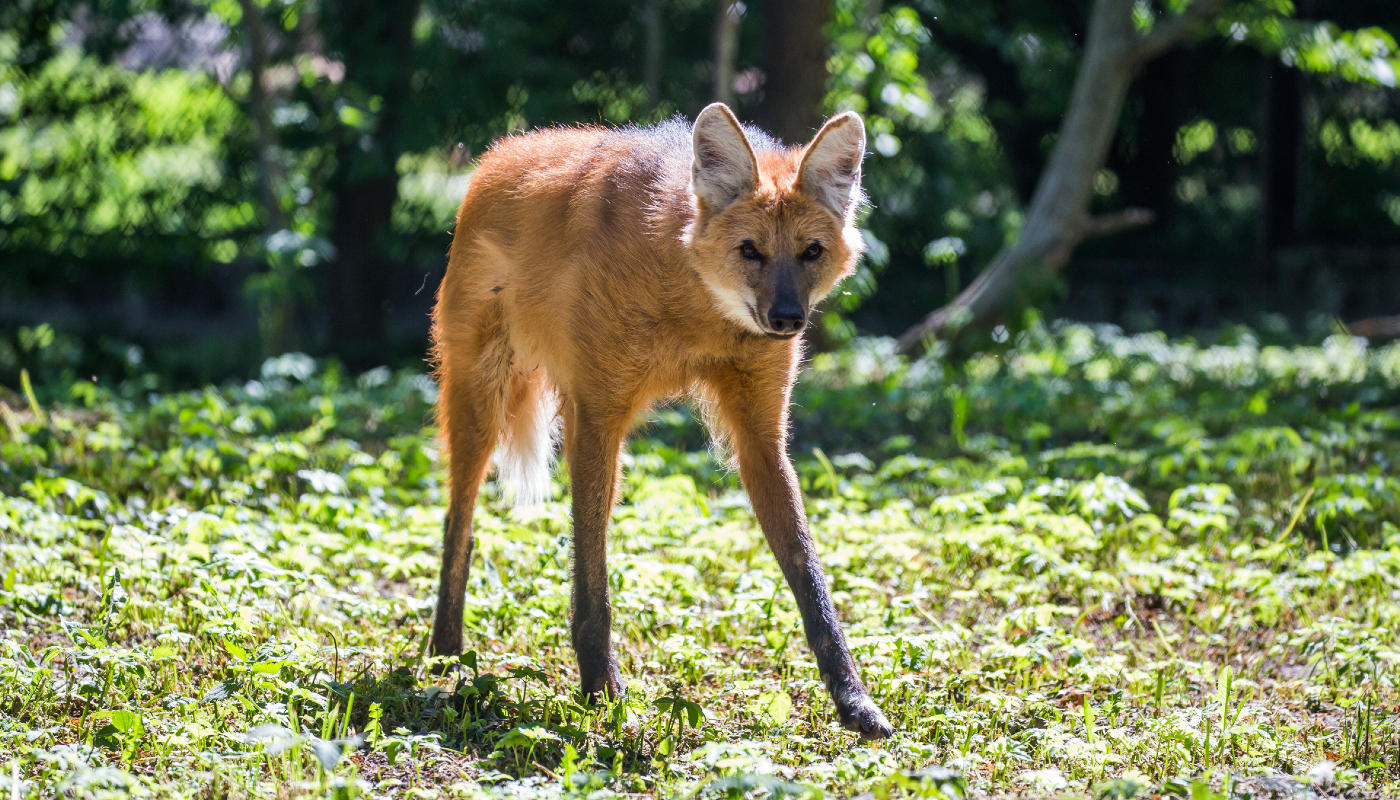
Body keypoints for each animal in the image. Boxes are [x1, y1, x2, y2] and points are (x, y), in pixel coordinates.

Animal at [429, 102, 892, 739]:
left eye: (811, 252)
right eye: (750, 250)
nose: (786, 318)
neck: (697, 308)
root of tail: (496, 157)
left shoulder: (759, 434)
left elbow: (808, 571)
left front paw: (853, 699)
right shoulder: (596, 413)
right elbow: (591, 576)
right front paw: (602, 695)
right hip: (484, 396)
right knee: (461, 519)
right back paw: (446, 657)